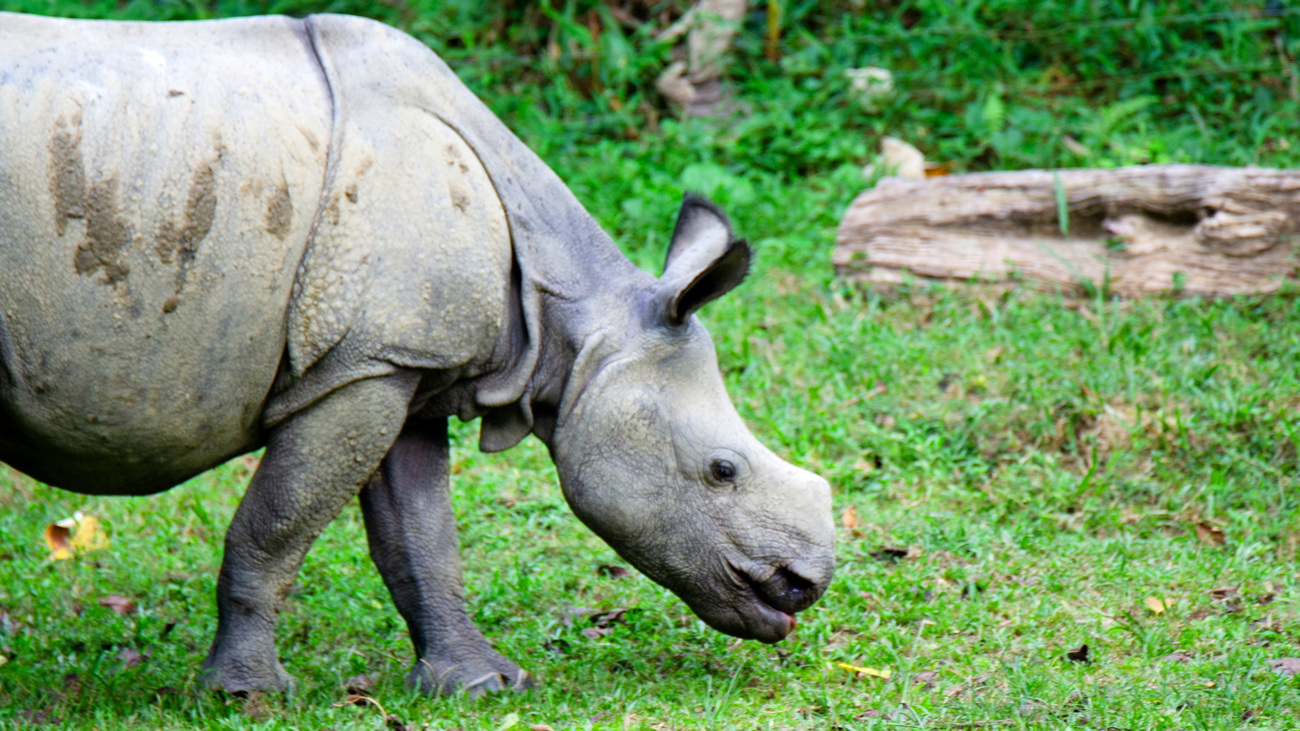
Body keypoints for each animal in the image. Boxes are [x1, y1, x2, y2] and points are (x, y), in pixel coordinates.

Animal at [0, 11, 832, 691]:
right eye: (722, 470)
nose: (808, 583)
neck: (574, 323)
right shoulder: (360, 367)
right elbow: (276, 526)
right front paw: (246, 695)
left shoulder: (401, 364)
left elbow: (422, 540)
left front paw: (481, 685)